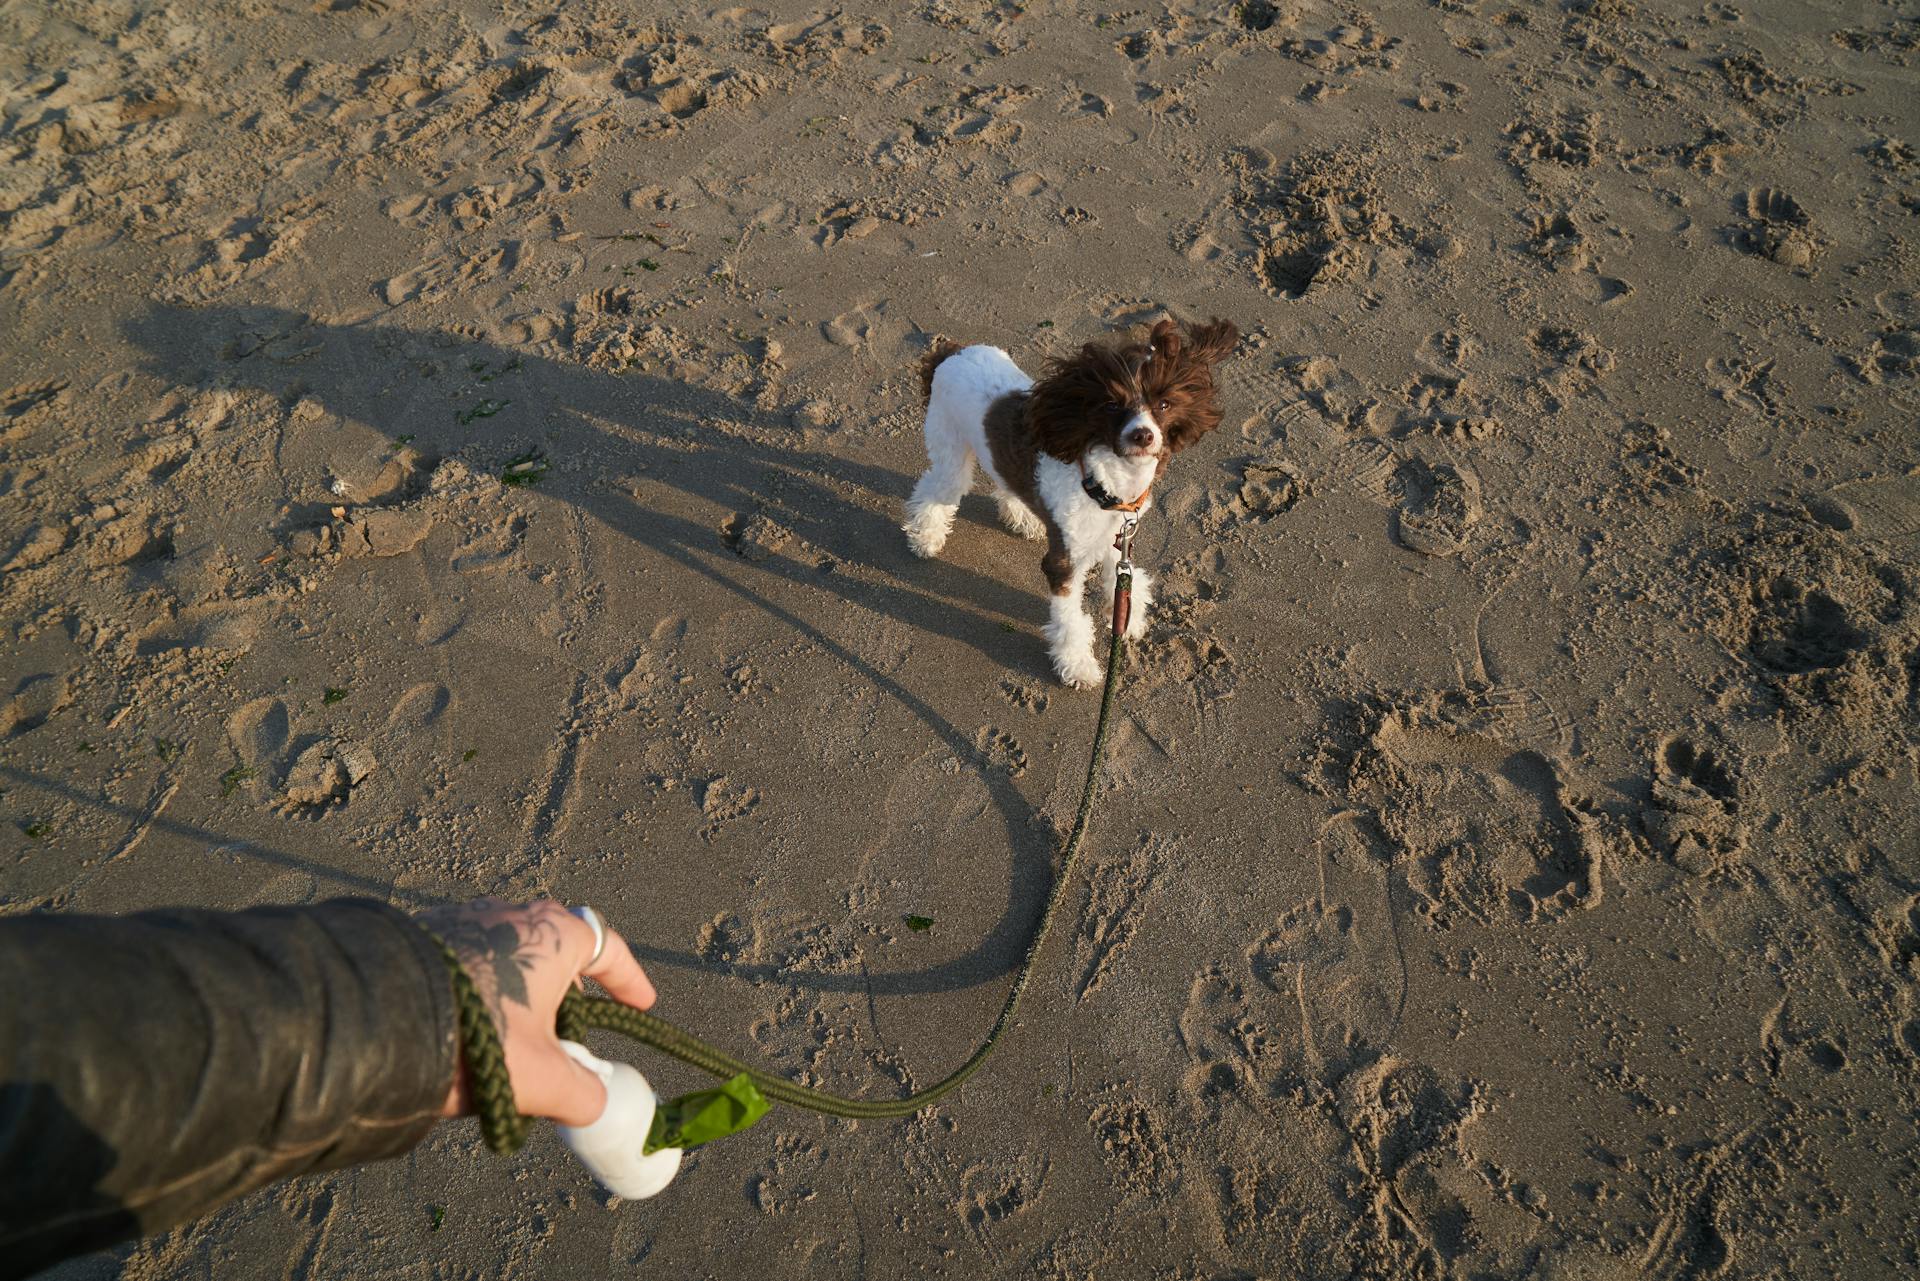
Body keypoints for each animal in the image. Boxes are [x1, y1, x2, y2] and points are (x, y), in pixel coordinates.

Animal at [902, 314, 1236, 687]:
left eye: (1163, 404)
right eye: (1112, 405)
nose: (1143, 435)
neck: (1105, 485)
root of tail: (952, 352)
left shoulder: (1116, 536)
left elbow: (1120, 580)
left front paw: (1126, 618)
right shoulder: (1065, 561)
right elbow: (1070, 620)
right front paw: (1077, 665)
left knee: (1006, 478)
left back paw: (1022, 517)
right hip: (950, 447)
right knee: (935, 490)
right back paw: (925, 537)